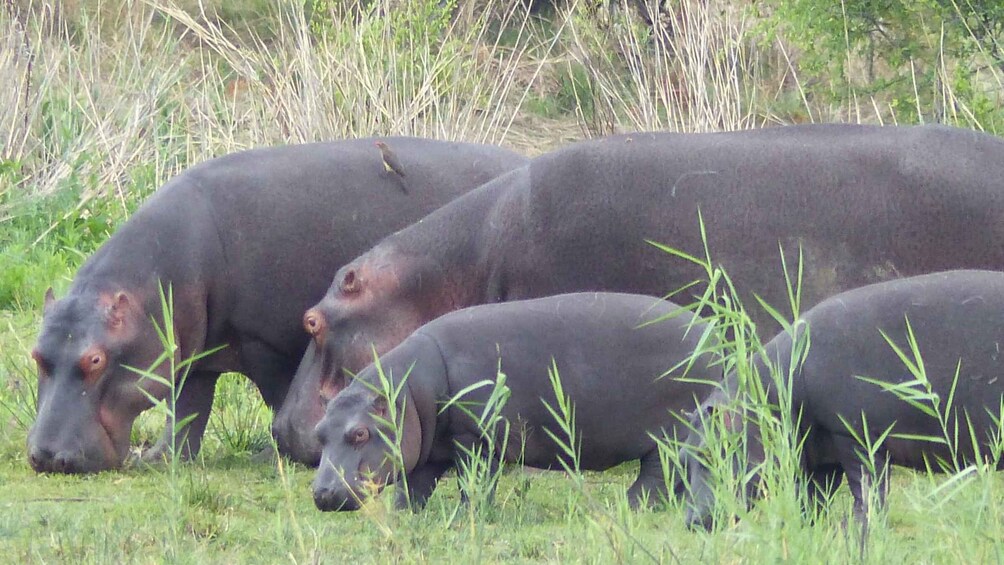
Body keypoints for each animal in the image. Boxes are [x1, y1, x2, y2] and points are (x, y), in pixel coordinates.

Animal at [25, 137, 526, 473]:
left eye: (95, 359)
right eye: (36, 355)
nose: (46, 456)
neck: (152, 286)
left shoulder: (263, 343)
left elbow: (274, 397)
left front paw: (275, 452)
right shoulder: (193, 353)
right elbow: (187, 412)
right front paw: (159, 460)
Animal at [309, 291, 718, 513]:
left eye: (360, 434)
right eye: (319, 433)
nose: (322, 493)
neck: (409, 391)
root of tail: (714, 339)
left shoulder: (475, 438)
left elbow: (475, 480)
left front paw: (467, 514)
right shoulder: (431, 446)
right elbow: (414, 486)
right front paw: (403, 515)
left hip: (670, 431)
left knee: (658, 475)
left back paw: (625, 505)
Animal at [686, 270, 1003, 533]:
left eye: (708, 455)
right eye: (683, 456)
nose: (691, 521)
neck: (768, 397)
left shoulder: (855, 435)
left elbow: (867, 488)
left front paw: (856, 527)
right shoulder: (819, 454)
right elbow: (813, 500)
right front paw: (808, 530)